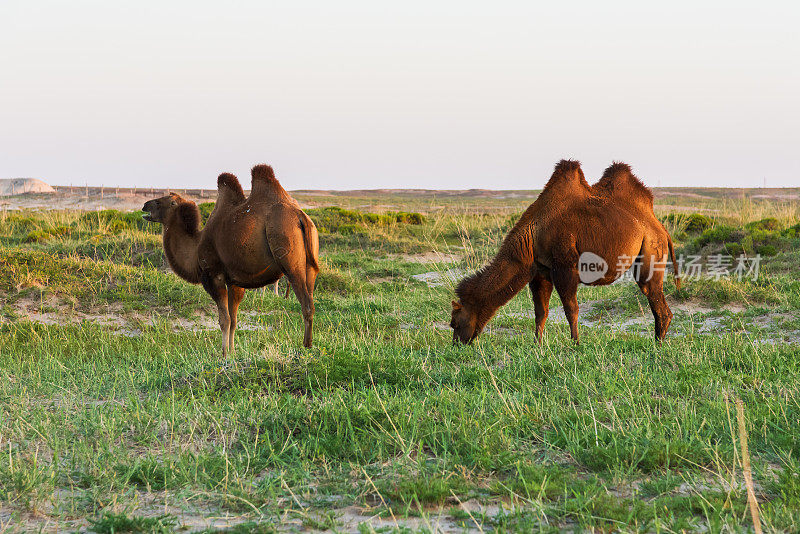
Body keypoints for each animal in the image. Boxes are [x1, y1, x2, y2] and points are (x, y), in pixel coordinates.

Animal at [142, 165, 320, 354]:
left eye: (160, 201)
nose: (145, 205)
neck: (196, 246)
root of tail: (300, 216)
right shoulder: (234, 281)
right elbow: (234, 320)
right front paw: (233, 351)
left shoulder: (214, 276)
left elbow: (224, 320)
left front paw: (224, 353)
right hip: (310, 262)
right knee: (311, 295)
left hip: (287, 251)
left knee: (306, 303)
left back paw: (306, 346)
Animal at [454, 159, 680, 346]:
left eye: (454, 322)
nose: (457, 344)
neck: (533, 234)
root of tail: (660, 227)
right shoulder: (540, 272)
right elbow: (541, 312)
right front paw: (537, 345)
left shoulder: (564, 268)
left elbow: (571, 310)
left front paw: (575, 344)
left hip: (651, 247)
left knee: (654, 296)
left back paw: (657, 346)